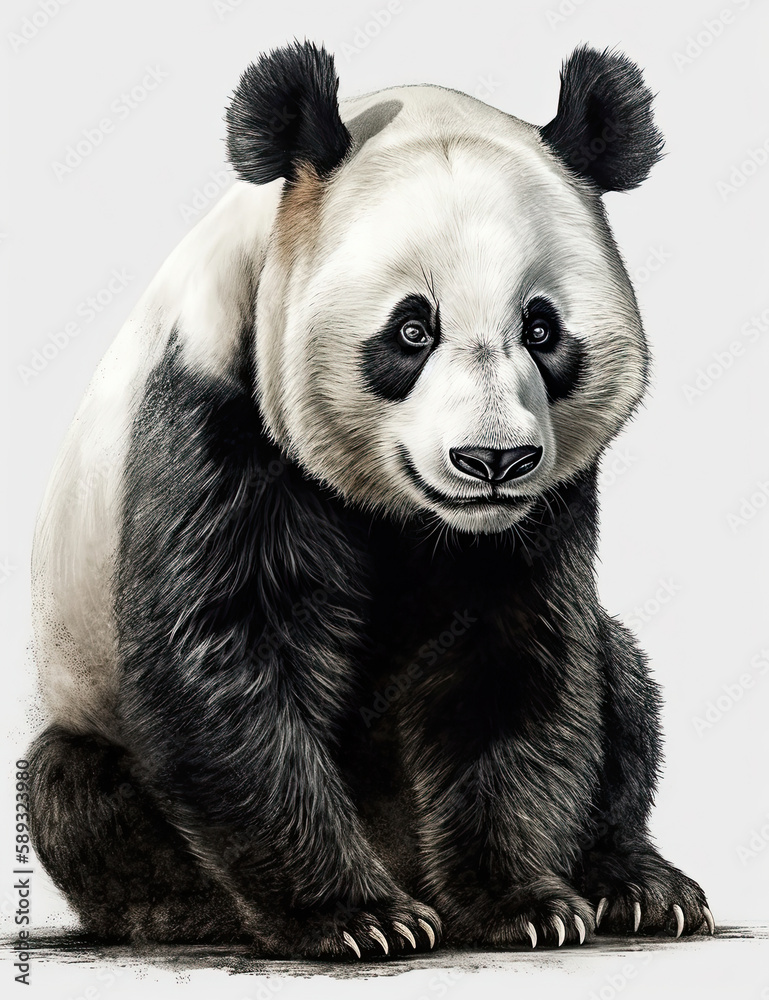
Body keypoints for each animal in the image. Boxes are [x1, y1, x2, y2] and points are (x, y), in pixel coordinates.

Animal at [27, 41, 714, 959]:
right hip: (90, 717)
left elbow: (516, 663)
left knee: (623, 684)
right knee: (72, 790)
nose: (492, 460)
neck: (411, 516)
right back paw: (184, 909)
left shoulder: (543, 510)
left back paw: (639, 887)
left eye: (541, 328)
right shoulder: (215, 421)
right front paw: (358, 919)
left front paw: (522, 903)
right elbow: (228, 658)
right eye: (411, 330)